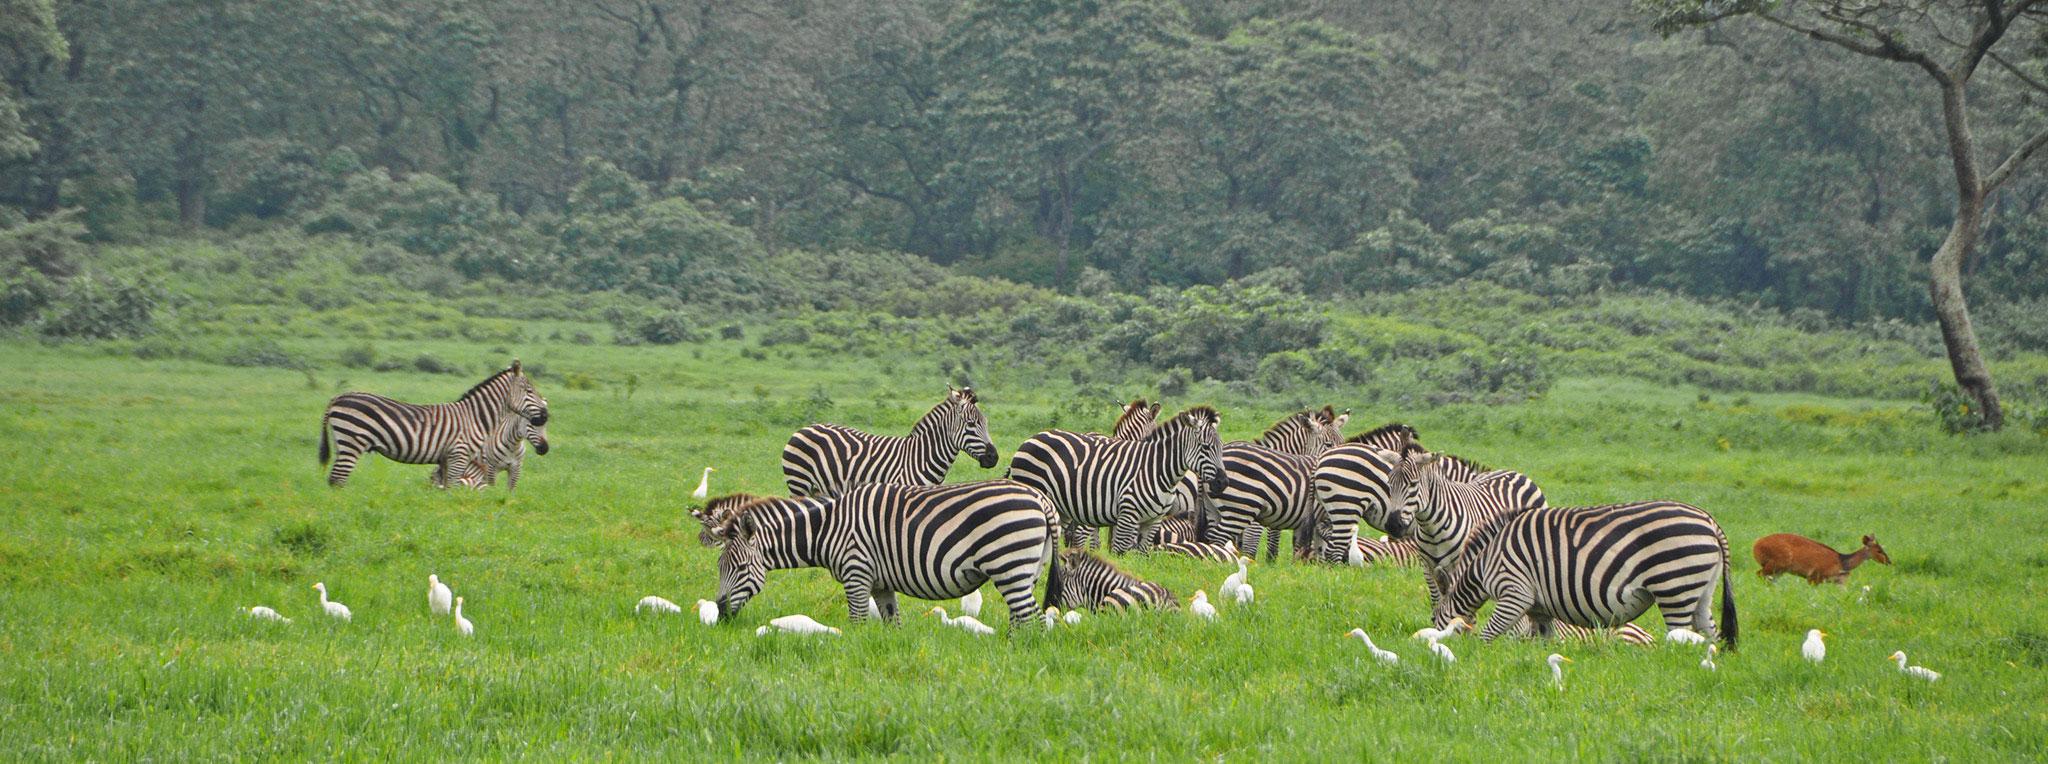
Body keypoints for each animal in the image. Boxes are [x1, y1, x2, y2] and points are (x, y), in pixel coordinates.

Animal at [319, 361, 550, 488]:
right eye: (530, 390)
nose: (546, 415)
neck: (475, 417)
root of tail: (338, 397)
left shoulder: (447, 459)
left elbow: (445, 489)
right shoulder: (459, 456)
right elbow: (453, 488)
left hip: (343, 442)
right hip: (352, 440)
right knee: (338, 479)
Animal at [698, 480, 1060, 629]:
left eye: (741, 567)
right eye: (720, 566)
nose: (721, 611)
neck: (829, 528)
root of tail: (1039, 498)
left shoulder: (856, 574)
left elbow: (857, 622)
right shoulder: (880, 583)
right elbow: (891, 624)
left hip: (1009, 564)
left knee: (1033, 618)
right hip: (1026, 570)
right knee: (1022, 617)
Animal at [781, 387, 998, 498]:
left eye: (987, 422)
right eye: (971, 424)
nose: (994, 457)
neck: (921, 457)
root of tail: (804, 428)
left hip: (819, 490)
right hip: (799, 484)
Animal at [1008, 406, 1225, 553]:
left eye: (1221, 446)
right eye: (1205, 447)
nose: (1222, 482)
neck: (1156, 469)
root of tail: (1030, 439)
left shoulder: (1153, 521)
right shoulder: (1126, 516)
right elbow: (1117, 551)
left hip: (1061, 507)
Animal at [1434, 501, 1739, 647]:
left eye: (1435, 622)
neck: (1486, 560)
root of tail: (1710, 521)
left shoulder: (1514, 594)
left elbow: (1487, 636)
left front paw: (1479, 660)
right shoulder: (1539, 609)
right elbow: (1544, 644)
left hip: (1674, 585)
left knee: (1681, 637)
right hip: (1701, 590)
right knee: (1711, 636)